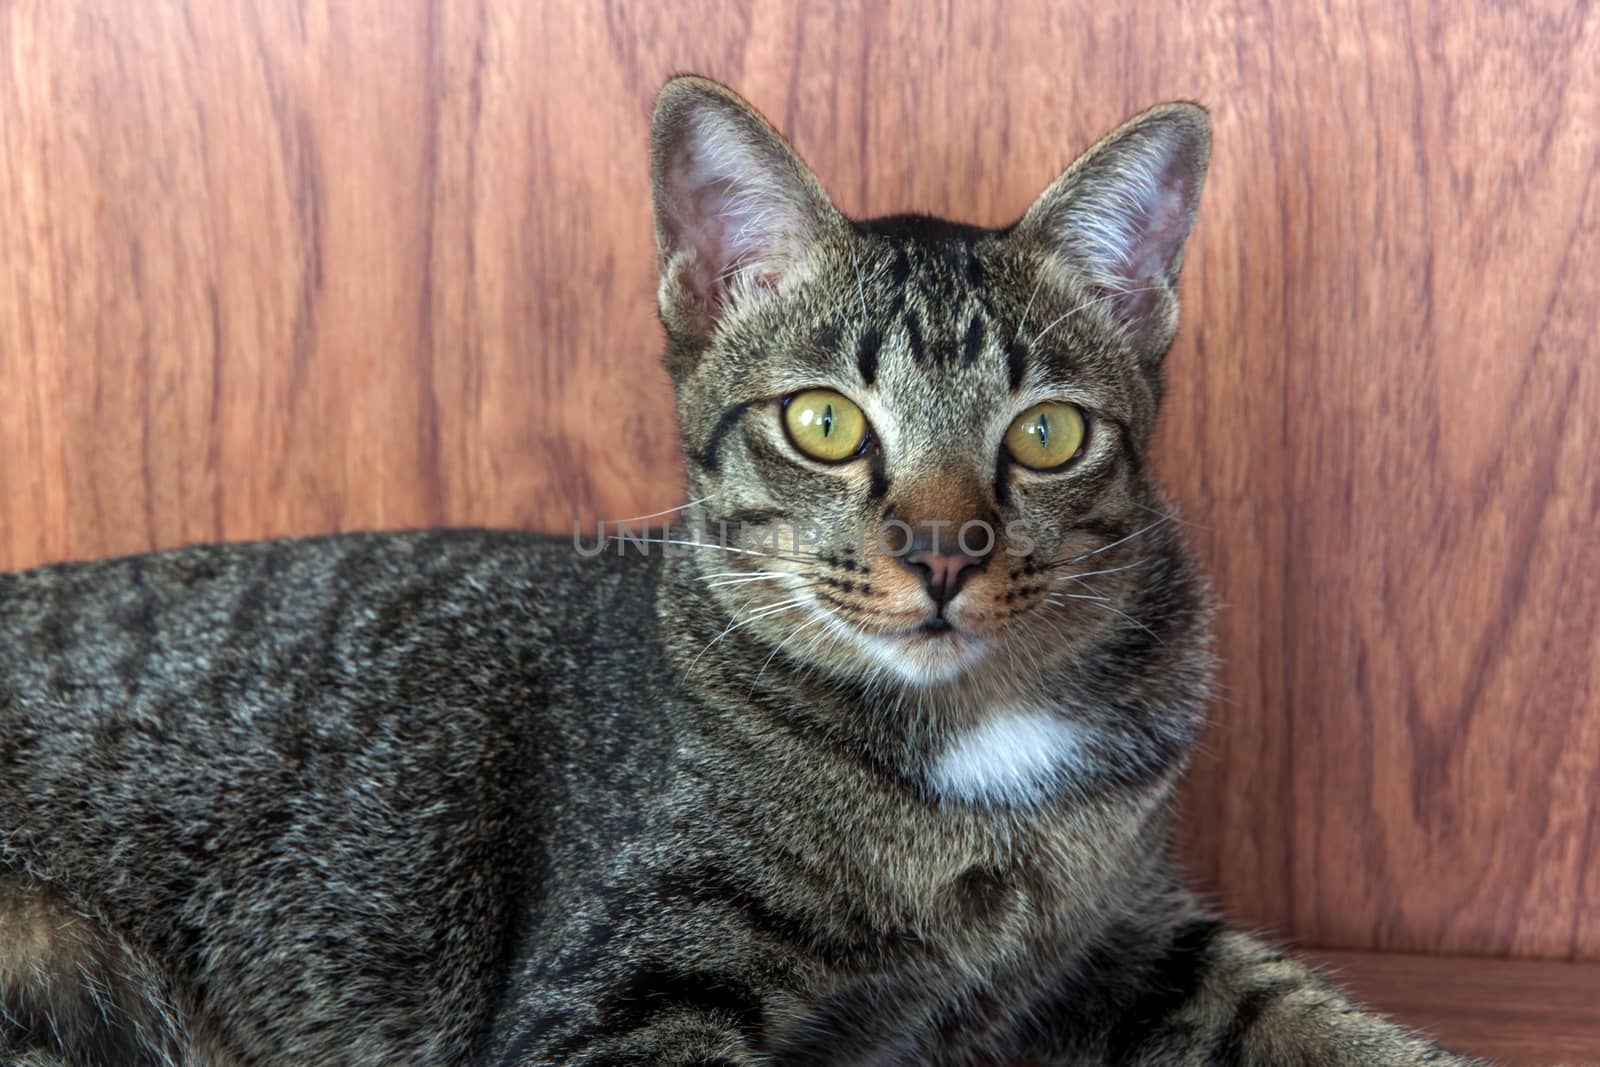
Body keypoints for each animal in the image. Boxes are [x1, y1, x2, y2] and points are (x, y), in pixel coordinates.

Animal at [0, 77, 1472, 1067]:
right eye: (823, 421)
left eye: (1046, 432)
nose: (943, 550)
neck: (974, 751)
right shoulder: (622, 996)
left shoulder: (1134, 934)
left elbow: (1315, 1013)